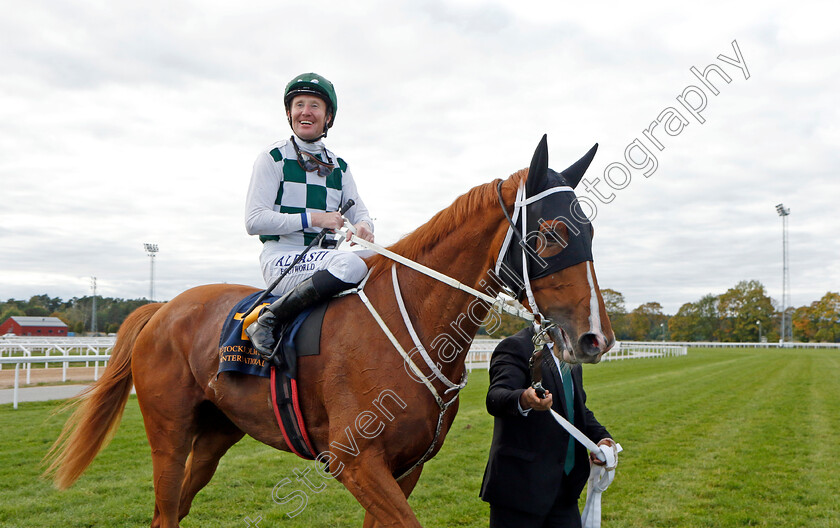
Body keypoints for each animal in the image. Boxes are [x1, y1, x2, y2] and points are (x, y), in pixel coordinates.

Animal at [44, 137, 612, 528]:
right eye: (552, 234)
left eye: (589, 229)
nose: (596, 338)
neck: (411, 325)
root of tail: (162, 308)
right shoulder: (356, 463)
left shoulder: (404, 468)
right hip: (169, 433)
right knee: (165, 512)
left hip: (215, 434)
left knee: (177, 508)